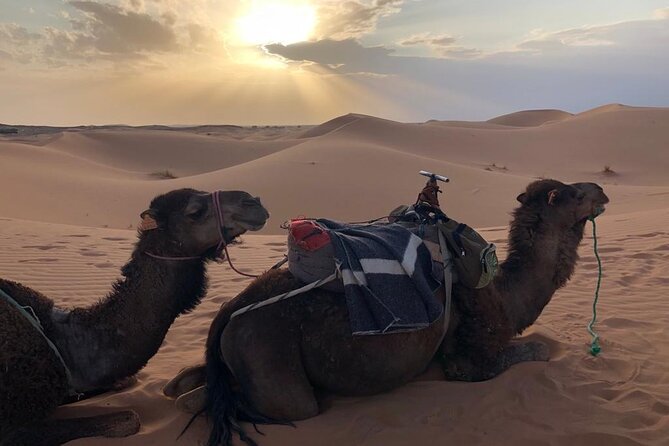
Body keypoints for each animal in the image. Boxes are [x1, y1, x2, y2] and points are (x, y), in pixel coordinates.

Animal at [0, 188, 269, 446]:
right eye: (195, 212)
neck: (65, 342)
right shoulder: (13, 426)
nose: (253, 201)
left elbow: (126, 381)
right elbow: (130, 419)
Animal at [166, 179, 608, 446]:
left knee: (185, 383)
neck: (504, 294)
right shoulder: (468, 359)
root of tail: (232, 307)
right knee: (226, 401)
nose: (602, 190)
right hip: (270, 359)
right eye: (574, 194)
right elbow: (540, 350)